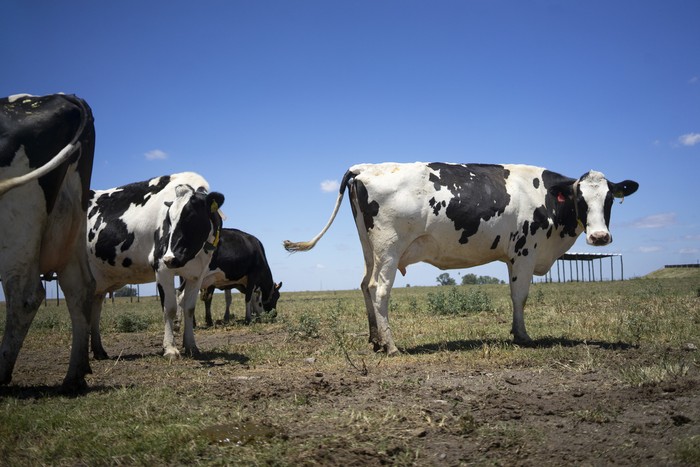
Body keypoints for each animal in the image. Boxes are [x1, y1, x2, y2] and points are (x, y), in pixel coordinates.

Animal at [0, 94, 95, 392]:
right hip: (72, 224)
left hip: (18, 222)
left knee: (24, 297)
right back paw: (74, 376)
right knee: (81, 289)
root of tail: (64, 96)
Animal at [87, 174, 224, 360]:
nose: (170, 258)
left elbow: (189, 308)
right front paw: (170, 349)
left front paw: (191, 346)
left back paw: (99, 351)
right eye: (168, 221)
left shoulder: (197, 274)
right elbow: (170, 308)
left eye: (190, 218)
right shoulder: (162, 268)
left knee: (95, 309)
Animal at [286, 162, 640, 354]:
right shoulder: (524, 252)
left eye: (609, 199)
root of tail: (366, 167)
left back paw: (375, 339)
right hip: (389, 246)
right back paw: (390, 344)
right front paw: (523, 336)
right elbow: (520, 296)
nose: (600, 237)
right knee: (378, 289)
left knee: (363, 285)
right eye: (580, 198)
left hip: (368, 246)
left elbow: (515, 296)